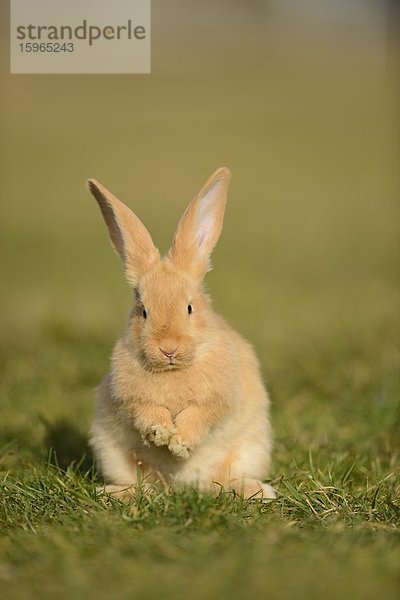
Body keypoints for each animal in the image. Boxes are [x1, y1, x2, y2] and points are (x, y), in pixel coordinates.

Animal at [86, 166, 276, 500]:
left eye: (189, 307)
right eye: (143, 310)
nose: (168, 348)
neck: (174, 370)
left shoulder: (217, 401)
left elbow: (200, 415)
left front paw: (180, 443)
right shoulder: (130, 399)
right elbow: (146, 410)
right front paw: (161, 433)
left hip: (249, 450)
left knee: (221, 482)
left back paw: (257, 491)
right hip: (112, 453)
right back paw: (113, 493)